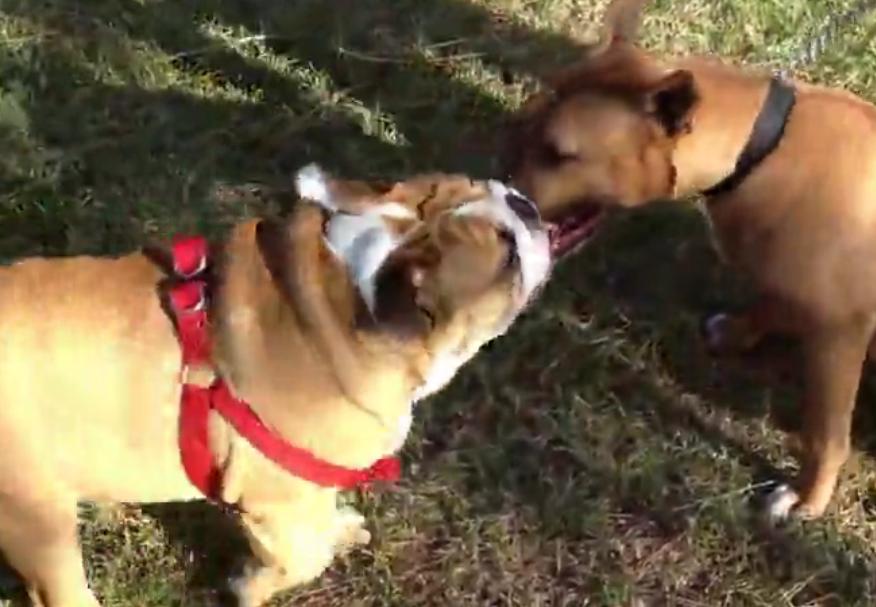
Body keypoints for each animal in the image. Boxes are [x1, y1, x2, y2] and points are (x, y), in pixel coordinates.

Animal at [0, 163, 552, 607]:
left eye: (484, 184)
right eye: (506, 254)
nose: (524, 203)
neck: (340, 308)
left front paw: (338, 530)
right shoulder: (278, 503)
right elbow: (305, 557)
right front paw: (251, 585)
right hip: (36, 517)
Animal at [506, 0, 876, 524]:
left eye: (561, 154)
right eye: (523, 122)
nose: (498, 198)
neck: (758, 152)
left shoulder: (841, 334)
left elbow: (825, 434)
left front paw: (808, 498)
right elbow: (772, 298)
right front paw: (741, 329)